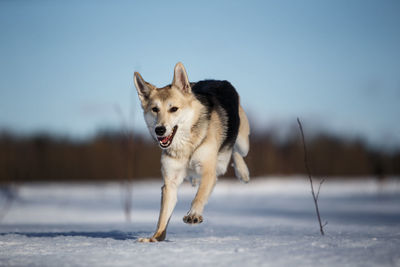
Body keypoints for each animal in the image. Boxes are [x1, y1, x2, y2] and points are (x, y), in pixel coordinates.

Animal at [134, 62, 250, 243]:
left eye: (174, 109)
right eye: (154, 109)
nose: (159, 130)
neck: (185, 146)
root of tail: (219, 80)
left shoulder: (208, 172)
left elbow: (199, 196)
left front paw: (193, 214)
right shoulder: (170, 183)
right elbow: (163, 217)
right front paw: (155, 238)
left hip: (243, 141)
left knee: (236, 150)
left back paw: (242, 172)